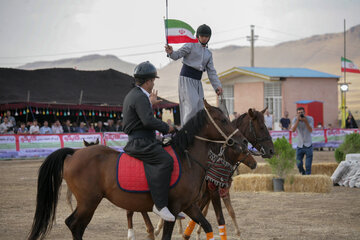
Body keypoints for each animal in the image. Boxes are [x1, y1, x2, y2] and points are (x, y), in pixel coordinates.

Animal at [28, 101, 250, 240]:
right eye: (223, 120)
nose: (243, 142)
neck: (187, 158)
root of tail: (74, 153)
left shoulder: (189, 206)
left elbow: (207, 226)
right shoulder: (173, 208)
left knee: (76, 227)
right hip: (88, 202)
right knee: (74, 225)